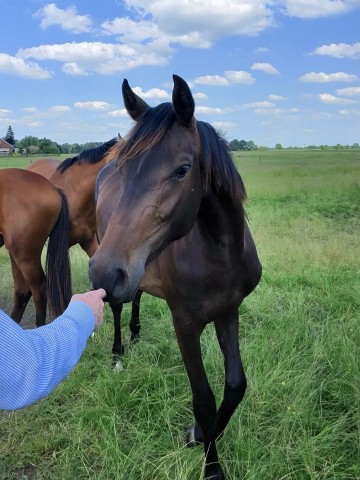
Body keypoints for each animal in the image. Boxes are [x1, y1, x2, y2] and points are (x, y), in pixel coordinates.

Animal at [89, 76, 262, 480]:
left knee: (135, 295)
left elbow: (235, 385)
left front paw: (200, 433)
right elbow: (203, 398)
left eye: (182, 170)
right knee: (118, 308)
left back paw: (136, 334)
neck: (218, 252)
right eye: (124, 168)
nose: (104, 272)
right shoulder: (185, 323)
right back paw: (118, 355)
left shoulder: (229, 312)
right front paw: (211, 465)